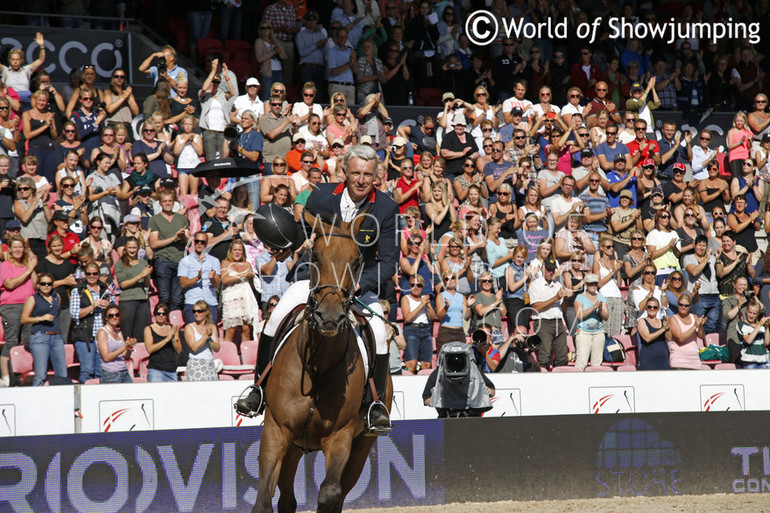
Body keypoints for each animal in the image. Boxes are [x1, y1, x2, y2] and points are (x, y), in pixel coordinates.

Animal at [252, 212, 392, 512]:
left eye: (357, 261)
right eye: (314, 255)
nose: (329, 316)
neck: (317, 368)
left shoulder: (342, 436)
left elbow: (330, 493)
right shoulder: (275, 430)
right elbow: (263, 500)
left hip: (361, 445)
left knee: (337, 491)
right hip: (294, 446)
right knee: (287, 499)